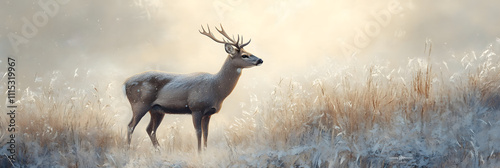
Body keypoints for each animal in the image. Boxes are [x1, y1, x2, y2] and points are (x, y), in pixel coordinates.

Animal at [123, 24, 264, 152]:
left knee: (149, 129)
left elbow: (206, 133)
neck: (216, 89)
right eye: (244, 55)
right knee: (130, 126)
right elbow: (198, 132)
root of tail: (125, 83)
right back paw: (128, 151)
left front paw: (205, 152)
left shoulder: (208, 113)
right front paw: (199, 153)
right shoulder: (196, 107)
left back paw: (159, 151)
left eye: (249, 52)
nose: (260, 60)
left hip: (156, 110)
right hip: (139, 104)